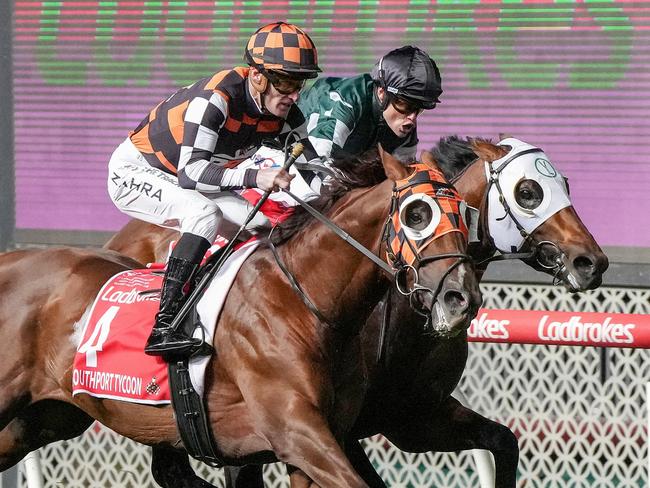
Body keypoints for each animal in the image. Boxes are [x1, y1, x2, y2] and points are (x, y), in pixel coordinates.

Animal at [0, 148, 478, 488]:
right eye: (417, 214)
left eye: (465, 213)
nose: (461, 298)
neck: (304, 301)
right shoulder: (298, 434)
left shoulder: (317, 445)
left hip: (44, 418)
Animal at [107, 134, 608, 488]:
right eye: (529, 192)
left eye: (564, 183)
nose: (592, 262)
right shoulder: (323, 431)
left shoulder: (413, 415)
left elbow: (503, 441)